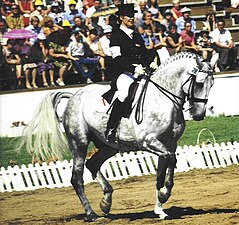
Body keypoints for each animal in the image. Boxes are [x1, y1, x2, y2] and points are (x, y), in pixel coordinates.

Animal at [19, 52, 218, 221]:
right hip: (79, 143)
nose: (199, 114)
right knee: (77, 178)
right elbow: (170, 161)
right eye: (199, 83)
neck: (162, 99)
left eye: (212, 84)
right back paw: (91, 214)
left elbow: (165, 169)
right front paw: (163, 195)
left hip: (109, 146)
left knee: (93, 164)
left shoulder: (169, 144)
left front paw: (160, 209)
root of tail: (75, 95)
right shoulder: (149, 141)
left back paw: (106, 203)